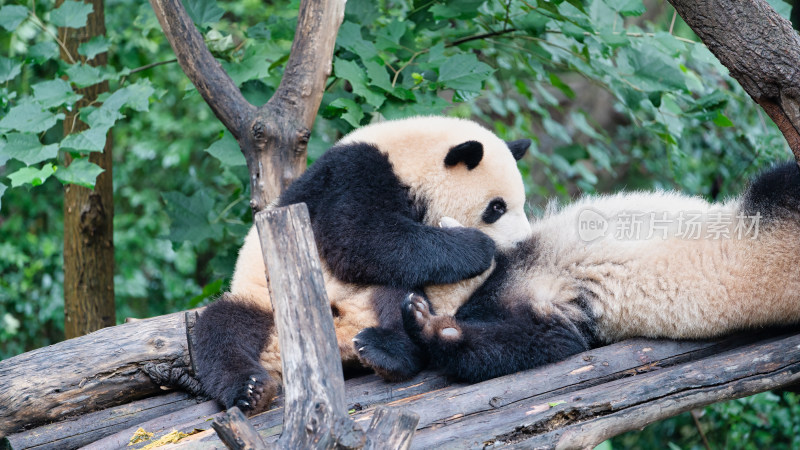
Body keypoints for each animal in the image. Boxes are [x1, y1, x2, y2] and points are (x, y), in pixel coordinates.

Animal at [192, 117, 532, 414]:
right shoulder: (353, 174)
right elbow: (358, 237)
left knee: (397, 292)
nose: (521, 241)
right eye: (496, 207)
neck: (410, 160)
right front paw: (477, 247)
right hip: (264, 303)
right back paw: (251, 390)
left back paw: (386, 353)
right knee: (220, 332)